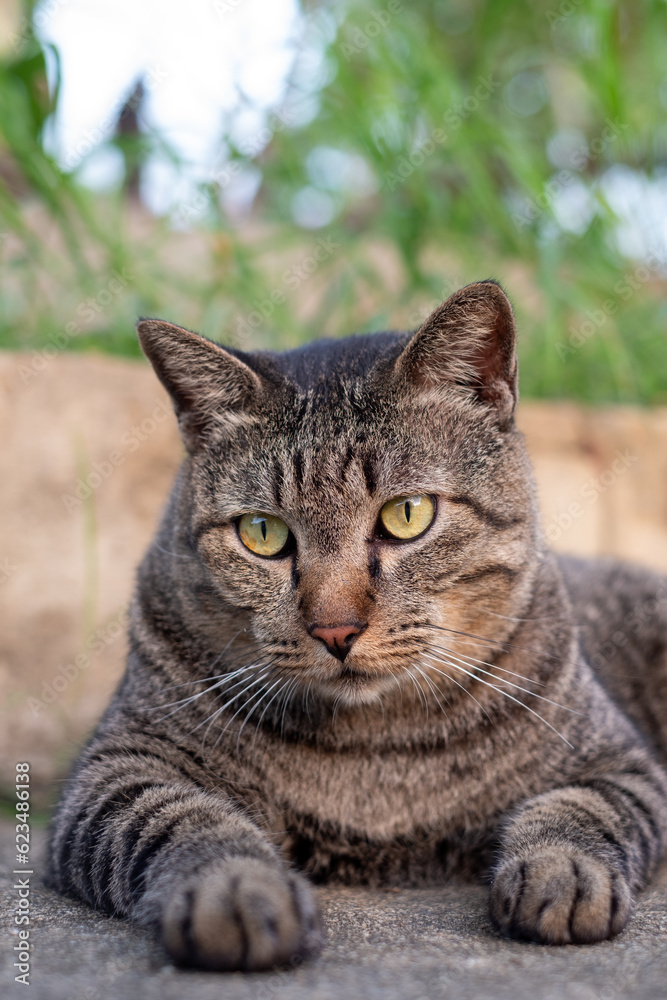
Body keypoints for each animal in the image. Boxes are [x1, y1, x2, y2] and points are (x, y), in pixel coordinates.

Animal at [47, 282, 667, 968]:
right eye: (262, 532)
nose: (335, 630)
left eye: (407, 514)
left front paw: (562, 874)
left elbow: (578, 811)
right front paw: (236, 888)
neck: (373, 752)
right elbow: (182, 819)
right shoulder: (118, 768)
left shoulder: (617, 761)